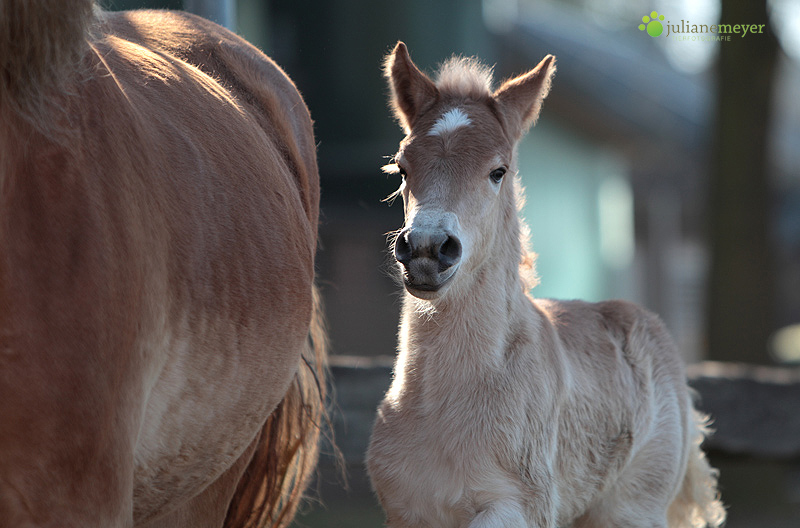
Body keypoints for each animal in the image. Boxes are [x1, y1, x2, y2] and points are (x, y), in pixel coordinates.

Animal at [368, 42, 724, 528]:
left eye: (498, 171)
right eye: (402, 168)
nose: (426, 249)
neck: (443, 407)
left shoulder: (519, 506)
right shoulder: (406, 510)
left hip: (633, 509)